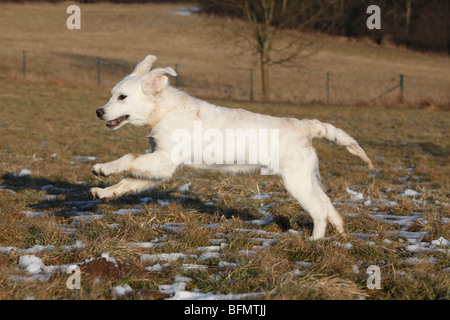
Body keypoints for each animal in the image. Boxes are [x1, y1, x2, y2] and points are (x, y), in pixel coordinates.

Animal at [89, 55, 372, 240]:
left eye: (122, 97)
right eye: (112, 94)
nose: (99, 111)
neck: (164, 111)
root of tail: (305, 126)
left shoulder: (165, 161)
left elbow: (128, 158)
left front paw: (103, 168)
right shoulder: (158, 166)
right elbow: (129, 180)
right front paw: (104, 192)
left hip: (295, 181)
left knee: (319, 210)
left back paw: (314, 242)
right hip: (307, 176)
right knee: (328, 204)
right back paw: (341, 234)